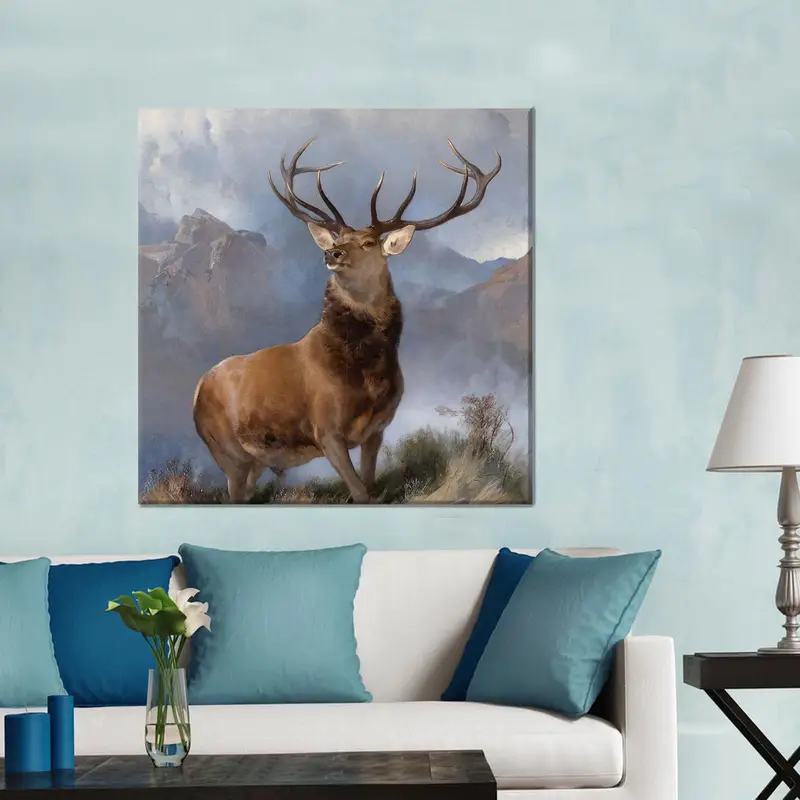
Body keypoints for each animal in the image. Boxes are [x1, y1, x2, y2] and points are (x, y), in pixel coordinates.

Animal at [192, 137, 501, 503]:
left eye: (368, 243)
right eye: (338, 240)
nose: (331, 253)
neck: (367, 378)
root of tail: (197, 390)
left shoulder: (377, 430)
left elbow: (369, 487)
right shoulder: (325, 430)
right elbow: (360, 493)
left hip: (254, 462)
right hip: (228, 453)